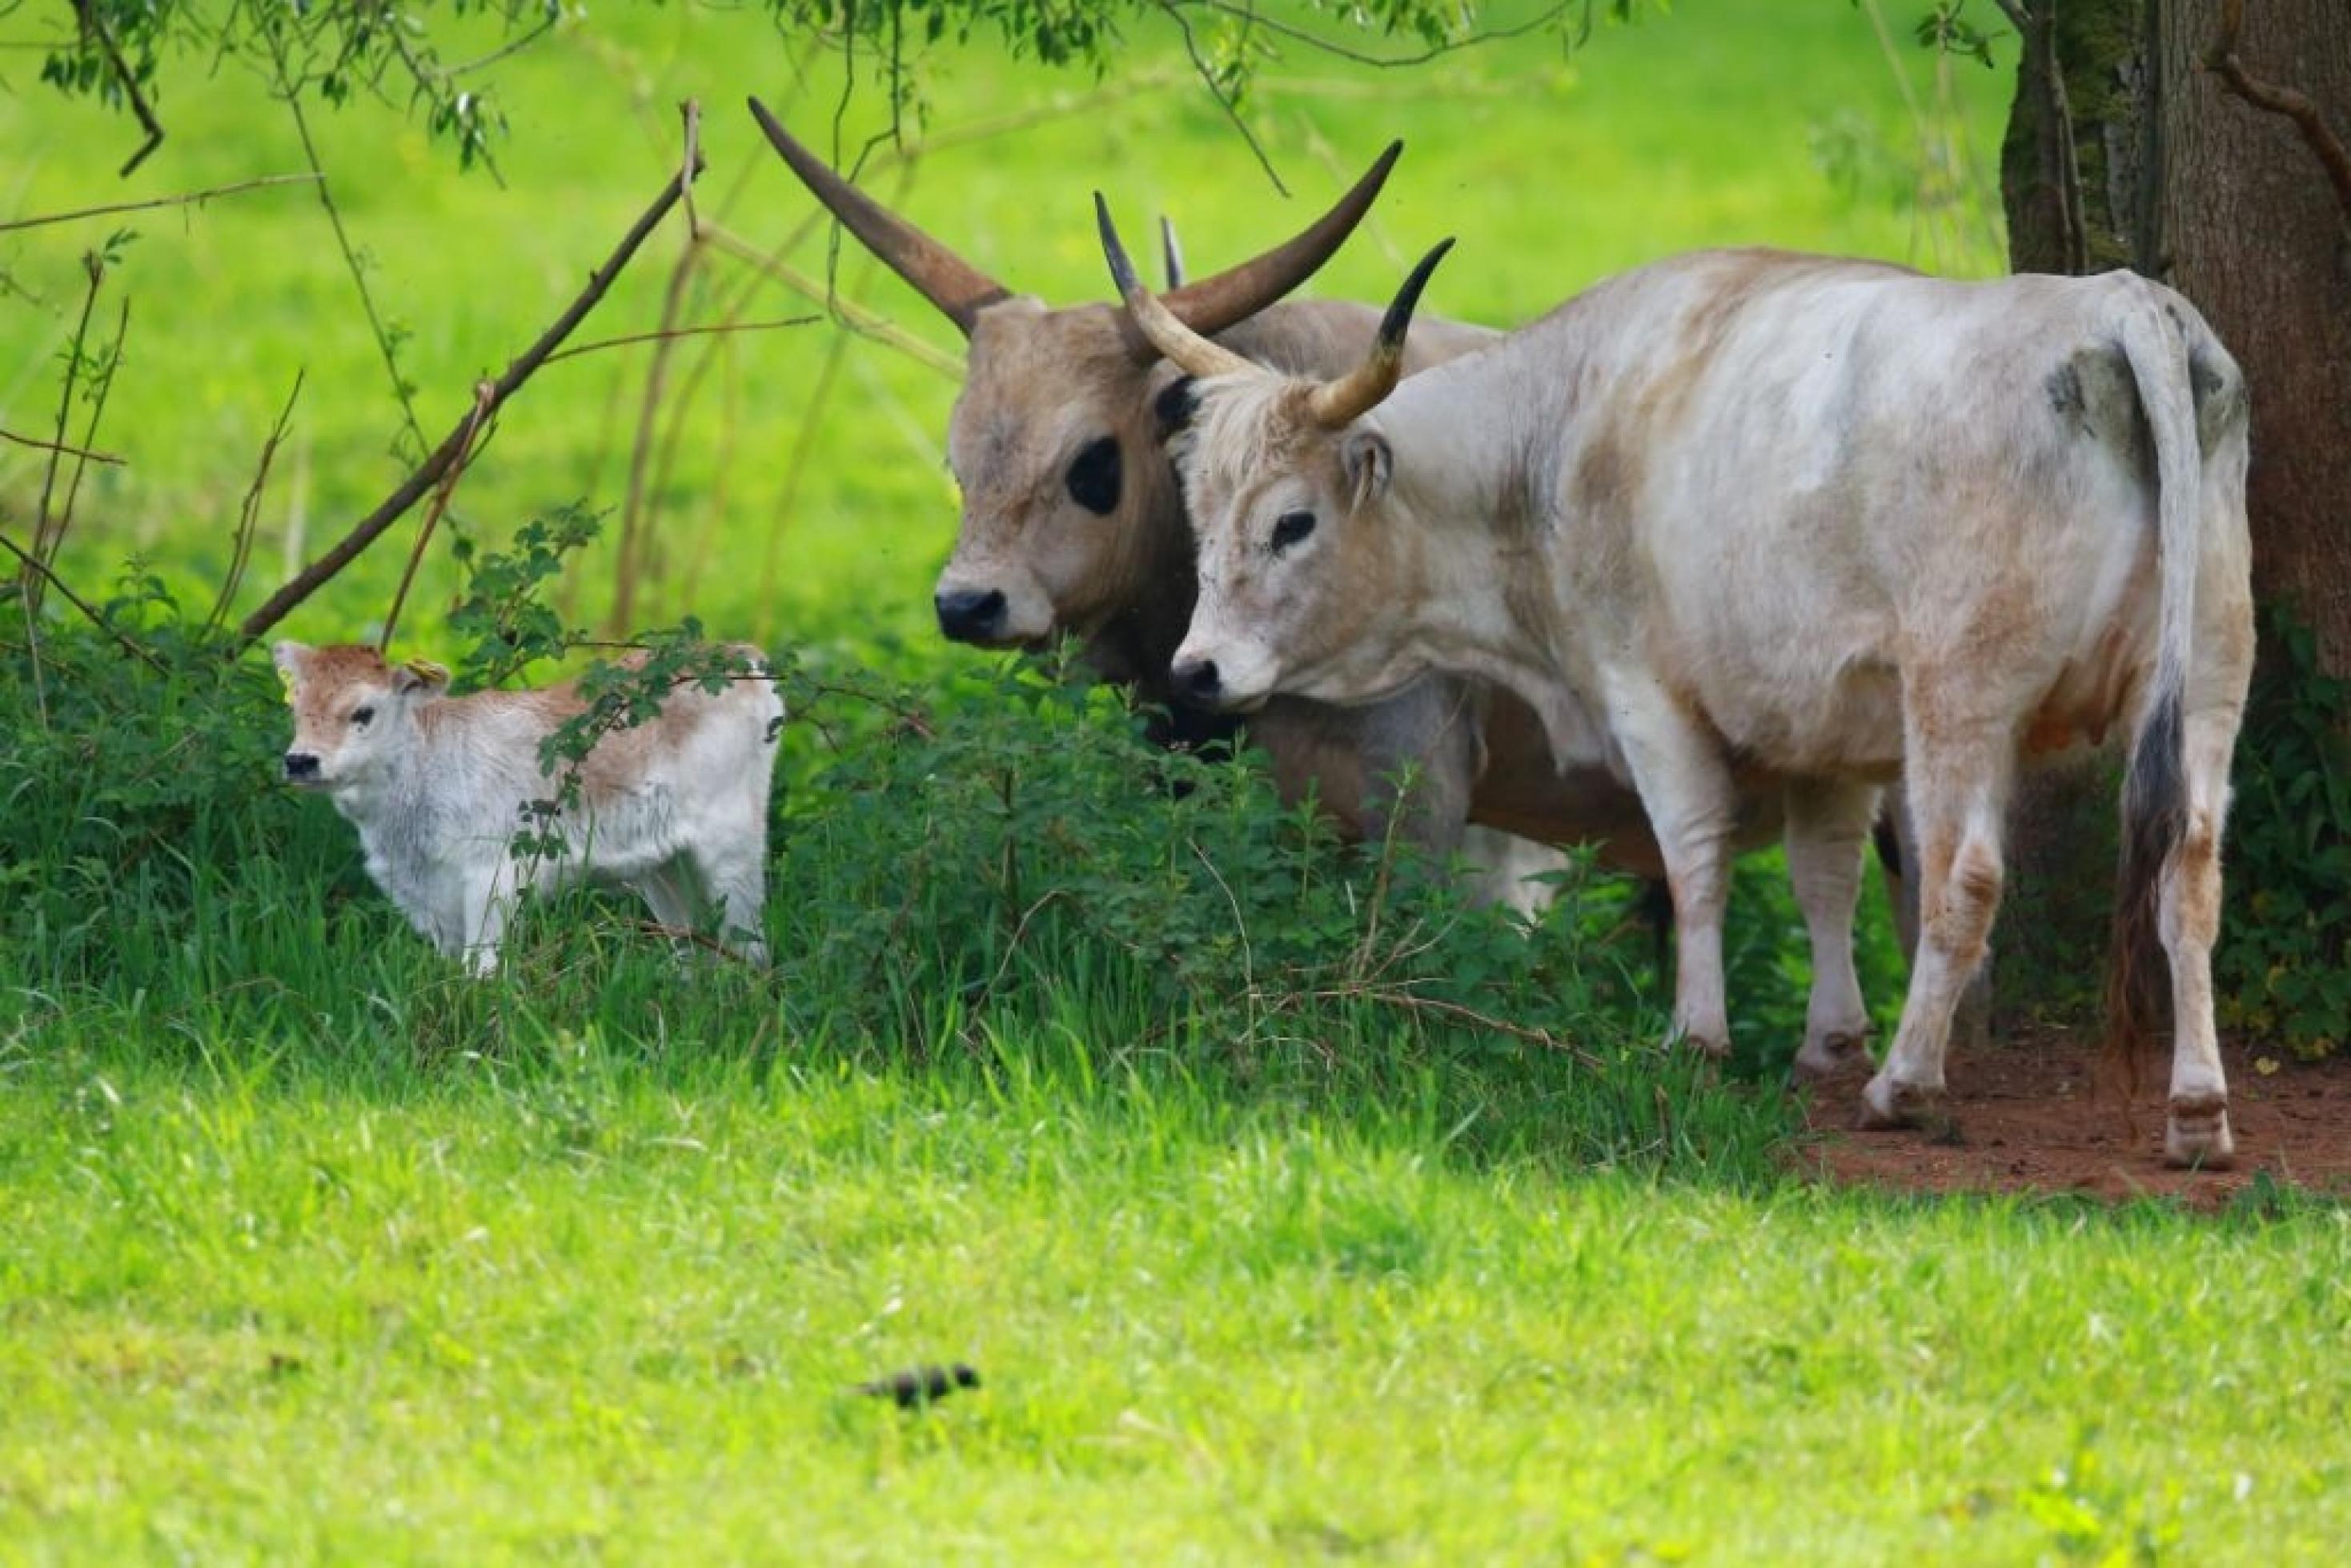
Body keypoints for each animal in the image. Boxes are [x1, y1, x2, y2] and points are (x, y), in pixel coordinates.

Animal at [267, 644, 780, 972]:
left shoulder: (491, 874)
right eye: (295, 709)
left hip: (733, 841)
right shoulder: (427, 899)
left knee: (750, 942)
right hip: (662, 865)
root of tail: (741, 655)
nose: (300, 761)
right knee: (691, 945)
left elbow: (481, 968)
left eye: (364, 712)